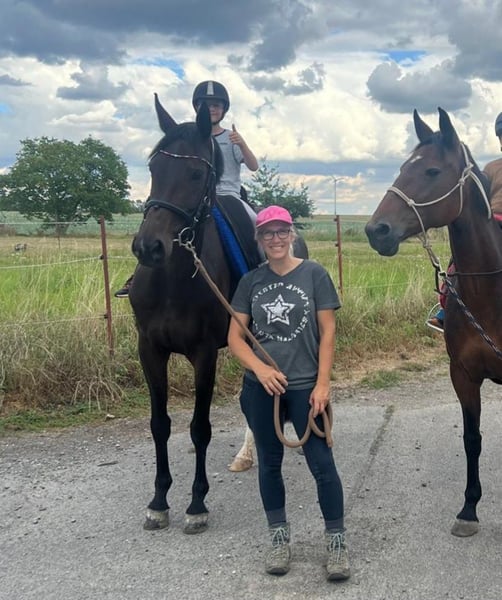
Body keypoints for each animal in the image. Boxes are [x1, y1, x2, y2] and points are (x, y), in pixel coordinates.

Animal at [130, 94, 308, 532]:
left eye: (196, 173)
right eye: (153, 169)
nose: (148, 247)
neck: (174, 279)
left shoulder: (204, 353)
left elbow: (200, 428)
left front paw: (196, 504)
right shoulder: (149, 350)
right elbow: (160, 425)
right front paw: (159, 500)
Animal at [365, 107, 502, 537]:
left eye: (432, 171)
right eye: (402, 168)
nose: (376, 231)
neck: (490, 291)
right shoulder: (463, 375)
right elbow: (472, 439)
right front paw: (469, 509)